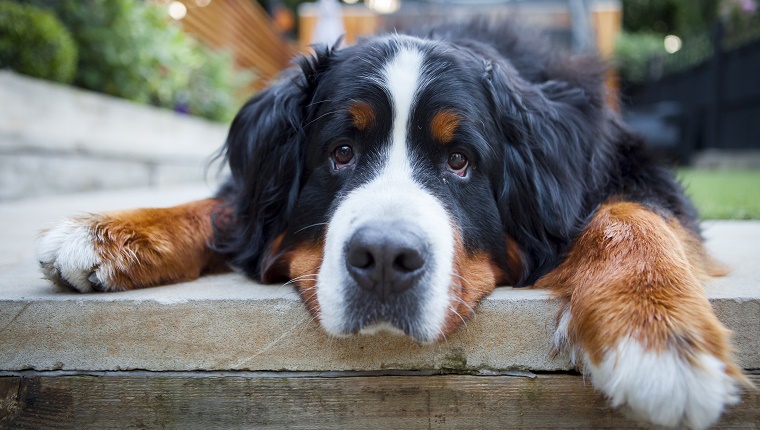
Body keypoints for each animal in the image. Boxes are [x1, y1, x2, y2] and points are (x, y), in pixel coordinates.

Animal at [35, 21, 748, 430]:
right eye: (340, 152)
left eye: (460, 162)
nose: (383, 258)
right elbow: (224, 208)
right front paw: (110, 233)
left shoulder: (630, 171)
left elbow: (630, 215)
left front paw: (656, 335)